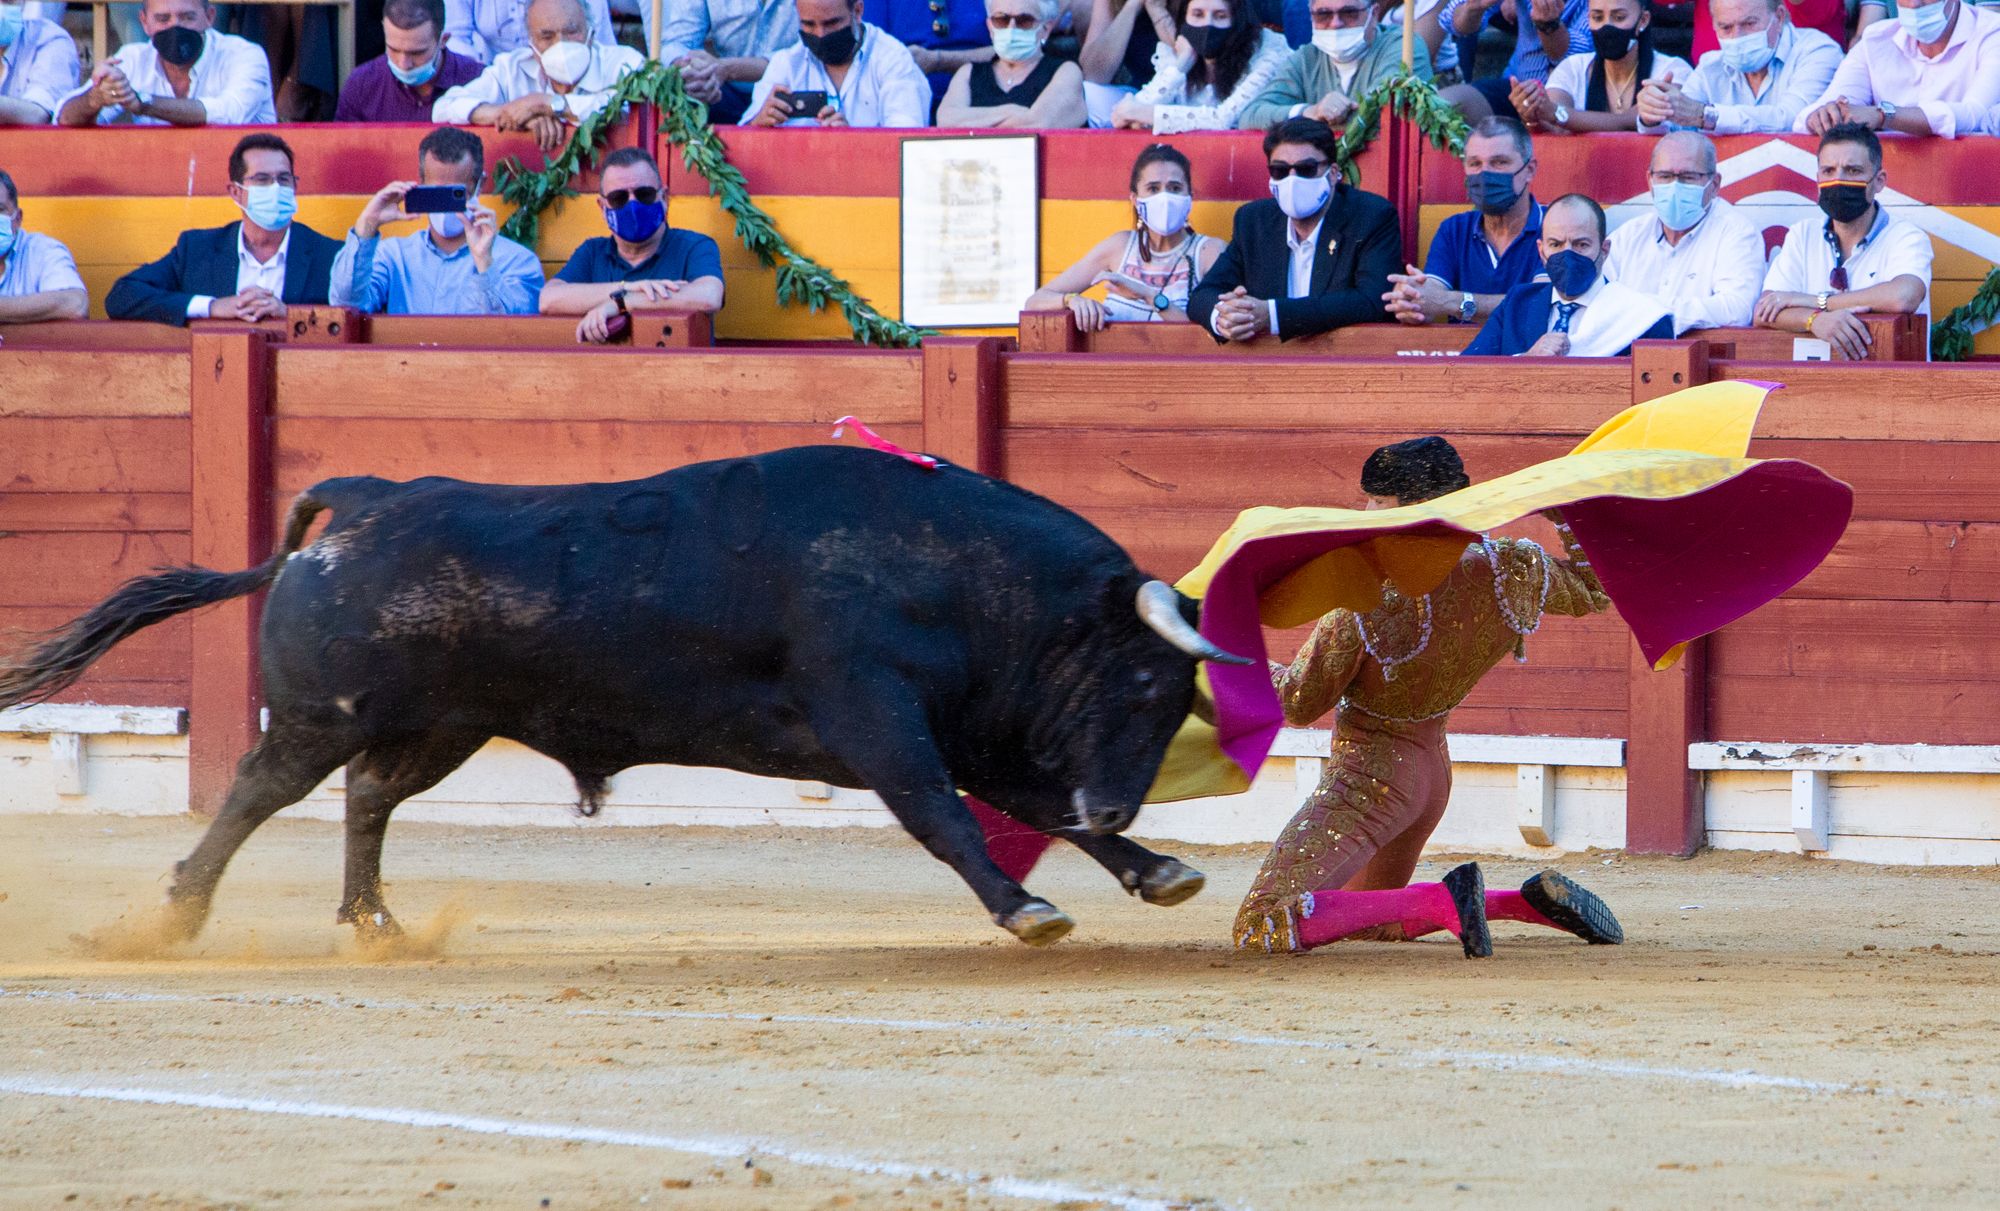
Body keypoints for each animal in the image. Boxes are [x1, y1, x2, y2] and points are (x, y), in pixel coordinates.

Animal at [0, 445, 1248, 951]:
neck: (948, 568)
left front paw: (1155, 871)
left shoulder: (972, 731)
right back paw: (176, 914)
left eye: (1176, 693)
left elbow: (1025, 808)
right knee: (259, 790)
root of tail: (371, 495)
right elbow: (949, 819)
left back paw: (376, 923)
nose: (1117, 804)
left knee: (367, 799)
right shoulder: (879, 719)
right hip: (325, 713)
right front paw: (1027, 908)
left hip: (441, 726)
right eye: (1140, 676)